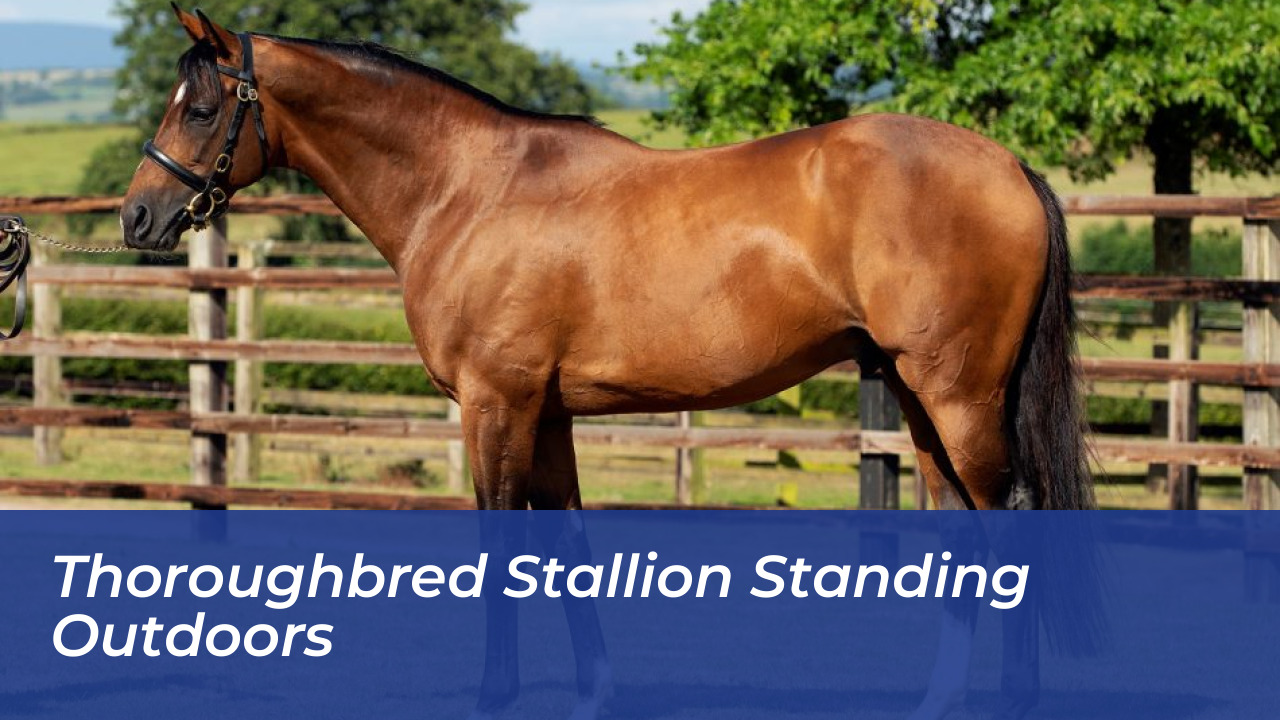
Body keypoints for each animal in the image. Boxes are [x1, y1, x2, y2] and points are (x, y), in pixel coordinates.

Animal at [123, 8, 1097, 719]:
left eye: (199, 107)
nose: (138, 218)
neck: (469, 190)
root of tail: (1010, 166)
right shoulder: (547, 412)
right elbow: (566, 543)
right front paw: (593, 692)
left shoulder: (497, 404)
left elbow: (504, 545)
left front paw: (497, 696)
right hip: (919, 396)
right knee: (962, 529)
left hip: (957, 393)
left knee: (1010, 518)